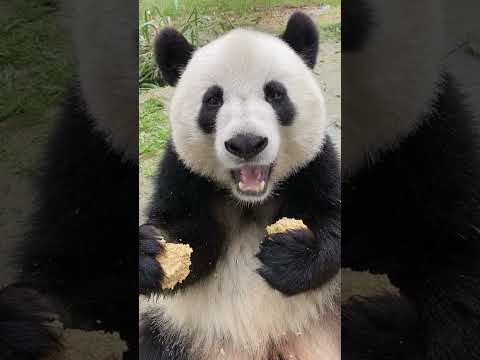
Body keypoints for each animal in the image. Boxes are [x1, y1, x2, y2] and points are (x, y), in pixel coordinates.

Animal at [139, 11, 342, 360]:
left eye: (275, 94)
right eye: (212, 100)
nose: (246, 143)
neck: (250, 201)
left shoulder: (316, 164)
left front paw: (291, 254)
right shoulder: (184, 175)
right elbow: (189, 241)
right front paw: (152, 251)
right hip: (177, 334)